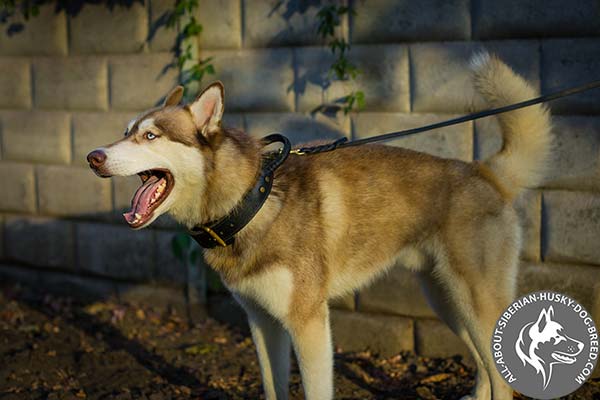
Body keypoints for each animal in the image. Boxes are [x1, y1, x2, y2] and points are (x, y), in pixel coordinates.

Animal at [88, 54, 552, 400]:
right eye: (125, 132)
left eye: (150, 136)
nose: (93, 156)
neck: (250, 202)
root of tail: (483, 171)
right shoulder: (262, 323)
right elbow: (273, 388)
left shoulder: (308, 322)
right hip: (447, 302)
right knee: (486, 368)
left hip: (475, 301)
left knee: (501, 377)